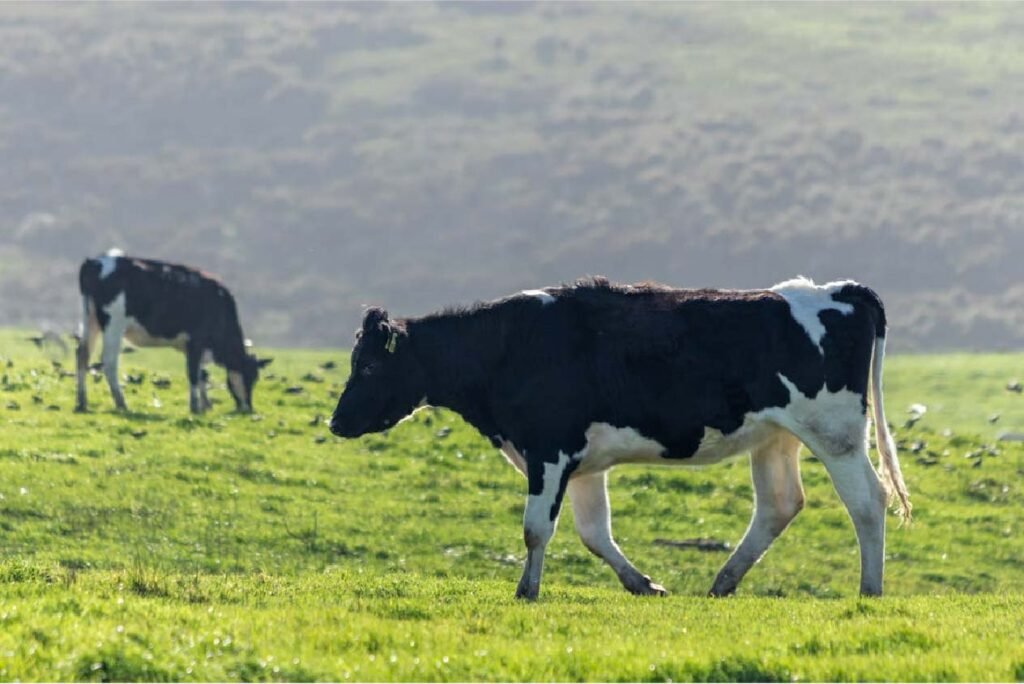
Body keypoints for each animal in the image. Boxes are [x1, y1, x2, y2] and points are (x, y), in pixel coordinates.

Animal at [75, 250, 272, 414]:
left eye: (255, 377)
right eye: (250, 377)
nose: (248, 408)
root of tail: (95, 261)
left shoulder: (191, 346)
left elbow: (201, 374)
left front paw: (205, 405)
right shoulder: (196, 339)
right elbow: (193, 373)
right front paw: (195, 406)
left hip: (90, 318)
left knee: (82, 354)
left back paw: (82, 402)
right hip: (113, 322)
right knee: (108, 361)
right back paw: (121, 403)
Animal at [329, 276, 911, 600]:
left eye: (370, 366)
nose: (336, 423)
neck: (509, 345)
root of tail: (836, 290)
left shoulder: (549, 449)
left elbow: (535, 530)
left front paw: (527, 590)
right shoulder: (583, 462)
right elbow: (593, 533)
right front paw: (643, 584)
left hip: (835, 432)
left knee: (868, 501)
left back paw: (870, 589)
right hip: (776, 437)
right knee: (780, 503)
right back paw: (723, 582)